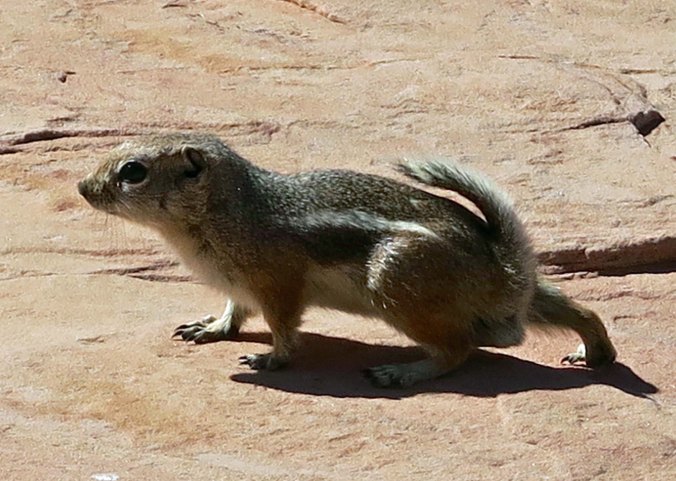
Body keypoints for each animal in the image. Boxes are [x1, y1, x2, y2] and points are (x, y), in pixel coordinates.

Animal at [78, 132, 617, 387]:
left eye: (133, 171)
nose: (82, 187)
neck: (231, 211)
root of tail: (502, 267)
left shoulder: (277, 282)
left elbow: (282, 325)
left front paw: (270, 359)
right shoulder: (238, 284)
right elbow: (234, 311)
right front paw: (208, 328)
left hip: (396, 282)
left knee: (458, 349)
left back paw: (402, 373)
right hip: (524, 297)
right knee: (581, 309)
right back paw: (595, 353)